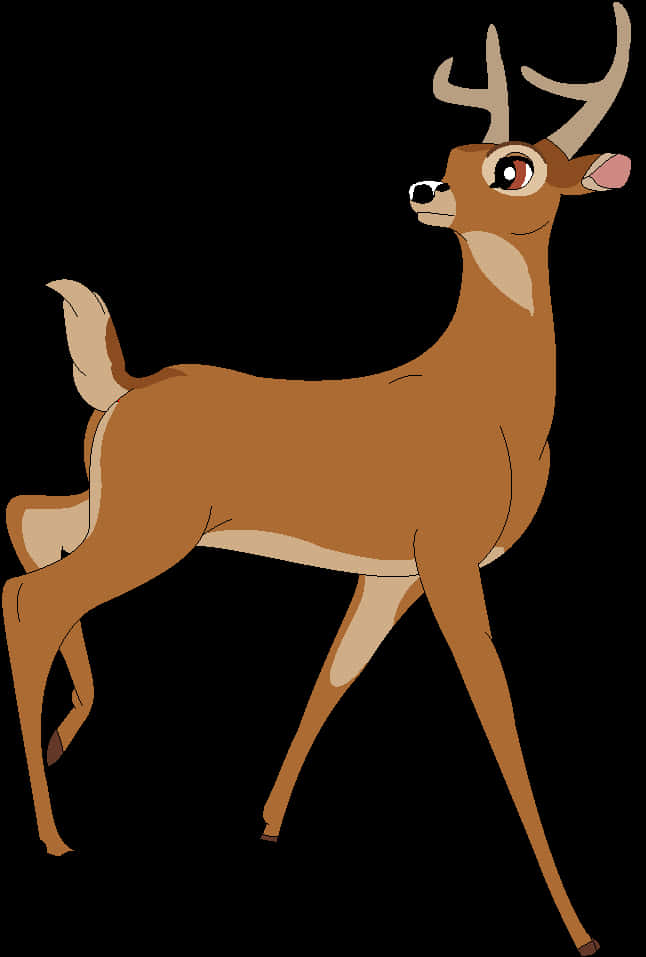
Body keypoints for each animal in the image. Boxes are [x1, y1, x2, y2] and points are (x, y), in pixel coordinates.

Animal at [2, 4, 631, 953]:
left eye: (511, 166)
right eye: (454, 155)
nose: (424, 190)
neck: (492, 400)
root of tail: (121, 385)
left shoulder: (394, 572)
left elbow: (333, 675)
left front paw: (266, 823)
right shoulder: (449, 555)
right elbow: (498, 707)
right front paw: (578, 925)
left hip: (120, 507)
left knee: (27, 521)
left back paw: (64, 738)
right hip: (156, 528)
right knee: (33, 595)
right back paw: (52, 832)